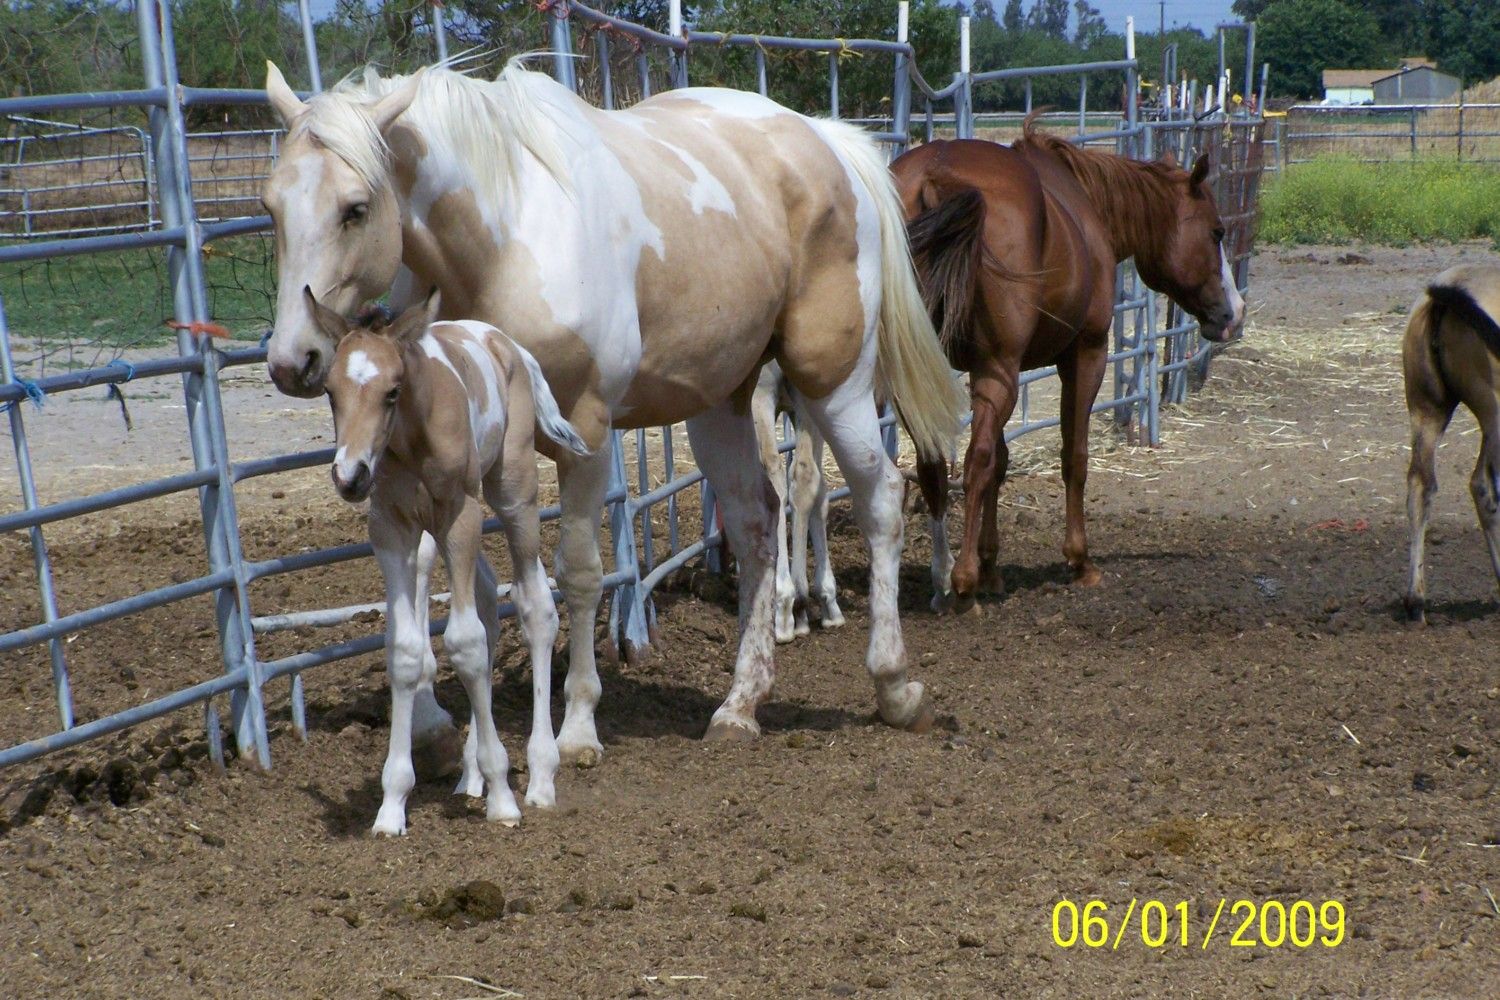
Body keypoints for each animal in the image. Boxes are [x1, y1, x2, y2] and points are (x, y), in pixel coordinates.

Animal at [316, 289, 590, 834]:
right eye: (331, 392)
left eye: (392, 391)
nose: (351, 476)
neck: (411, 436)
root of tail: (510, 346)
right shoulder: (392, 528)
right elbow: (406, 650)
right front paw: (391, 806)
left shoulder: (460, 516)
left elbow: (464, 643)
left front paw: (503, 798)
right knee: (486, 601)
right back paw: (470, 777)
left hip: (512, 495)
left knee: (535, 607)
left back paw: (540, 777)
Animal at [750, 363, 844, 643]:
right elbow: (819, 490)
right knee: (802, 475)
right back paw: (806, 605)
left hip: (763, 391)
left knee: (777, 474)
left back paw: (786, 606)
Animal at [890, 124, 1245, 609]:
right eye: (1216, 232)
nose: (1233, 312)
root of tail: (935, 176)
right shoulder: (1084, 355)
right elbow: (1072, 456)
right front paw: (1079, 560)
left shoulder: (1012, 370)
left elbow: (1002, 462)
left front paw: (992, 565)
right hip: (994, 369)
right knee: (974, 460)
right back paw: (961, 583)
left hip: (919, 375)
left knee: (933, 468)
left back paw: (943, 581)